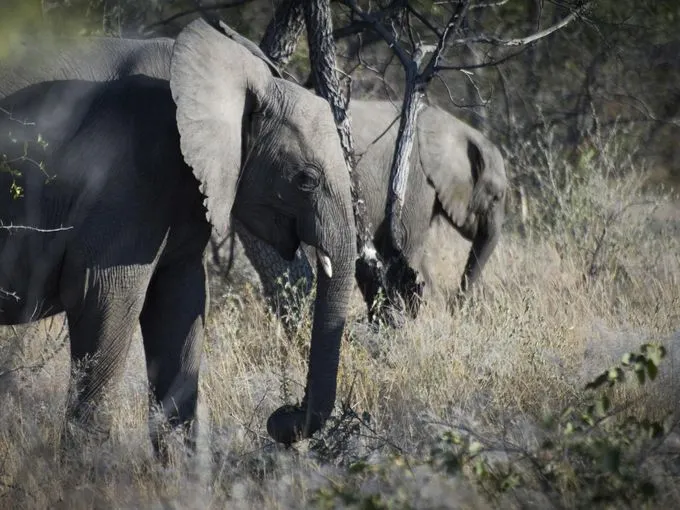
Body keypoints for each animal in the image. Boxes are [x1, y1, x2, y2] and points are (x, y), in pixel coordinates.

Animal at [0, 18, 358, 450]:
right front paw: (87, 465)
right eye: (306, 179)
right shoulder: (130, 168)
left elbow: (179, 301)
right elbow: (103, 293)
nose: (281, 416)